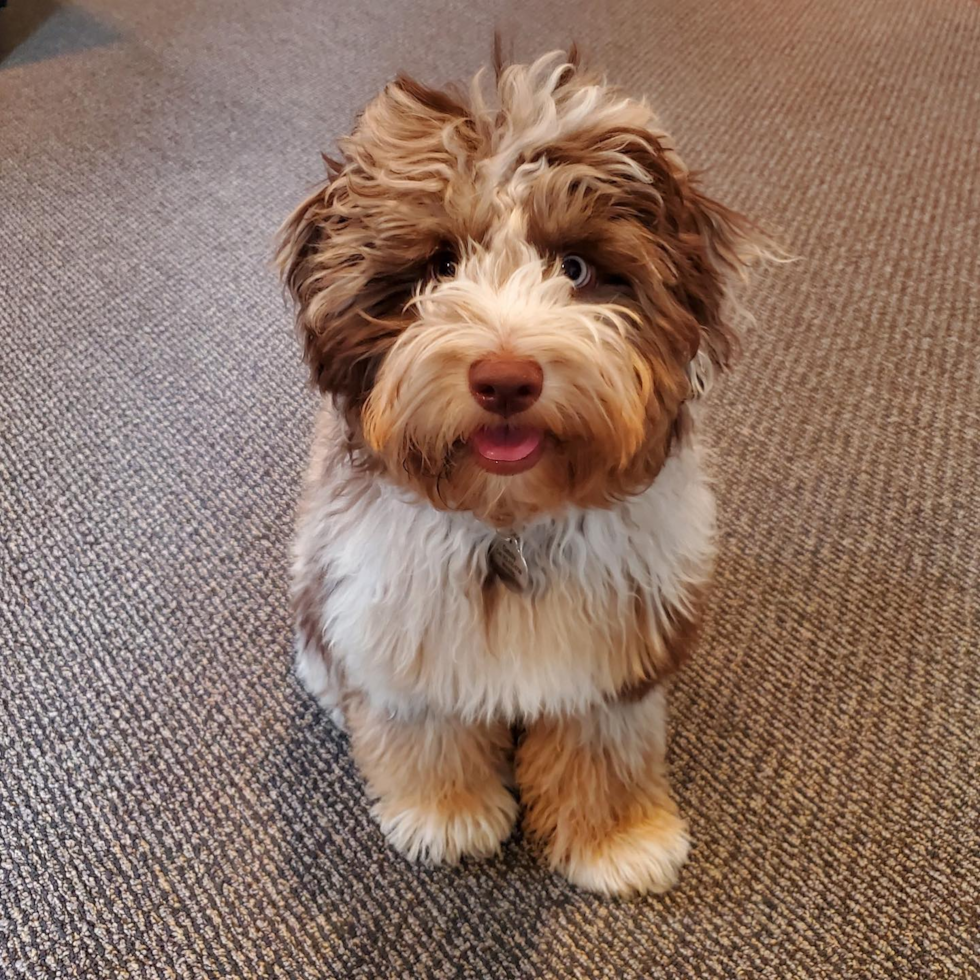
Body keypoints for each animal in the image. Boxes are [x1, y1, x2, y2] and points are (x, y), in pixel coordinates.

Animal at [278, 49, 772, 900]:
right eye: (439, 266)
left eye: (574, 266)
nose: (505, 379)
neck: (507, 524)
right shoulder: (392, 621)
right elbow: (423, 731)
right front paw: (445, 813)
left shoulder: (619, 643)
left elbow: (607, 746)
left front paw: (618, 838)